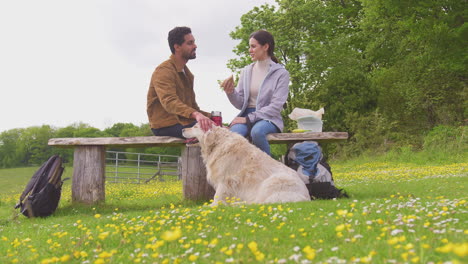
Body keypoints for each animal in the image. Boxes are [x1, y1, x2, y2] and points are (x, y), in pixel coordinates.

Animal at [182, 125, 310, 205]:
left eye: (195, 126)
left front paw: (212, 206)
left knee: (258, 203)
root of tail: (306, 197)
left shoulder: (225, 180)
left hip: (272, 182)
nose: (182, 129)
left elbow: (217, 196)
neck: (218, 143)